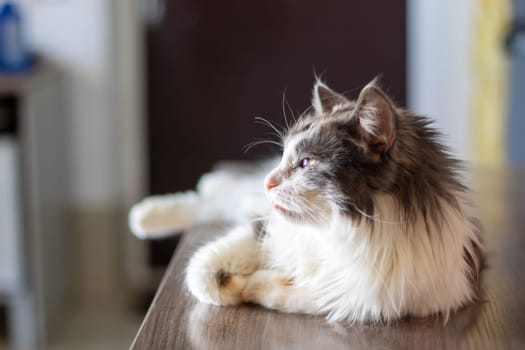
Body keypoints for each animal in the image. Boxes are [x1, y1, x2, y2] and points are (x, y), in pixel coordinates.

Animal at [129, 78, 482, 322]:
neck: (344, 232)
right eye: (287, 156)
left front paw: (252, 285)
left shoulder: (380, 298)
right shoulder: (268, 228)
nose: (269, 182)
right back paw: (150, 214)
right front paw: (233, 286)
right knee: (216, 199)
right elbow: (202, 272)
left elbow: (306, 296)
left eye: (306, 163)